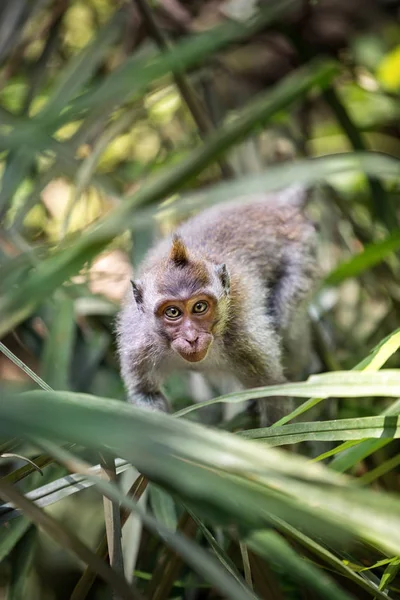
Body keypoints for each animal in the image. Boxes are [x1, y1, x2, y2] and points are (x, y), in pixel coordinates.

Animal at [115, 185, 318, 424]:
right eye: (172, 312)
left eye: (200, 307)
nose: (192, 338)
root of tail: (278, 202)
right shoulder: (139, 347)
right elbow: (146, 393)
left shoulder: (246, 341)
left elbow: (273, 394)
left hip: (301, 255)